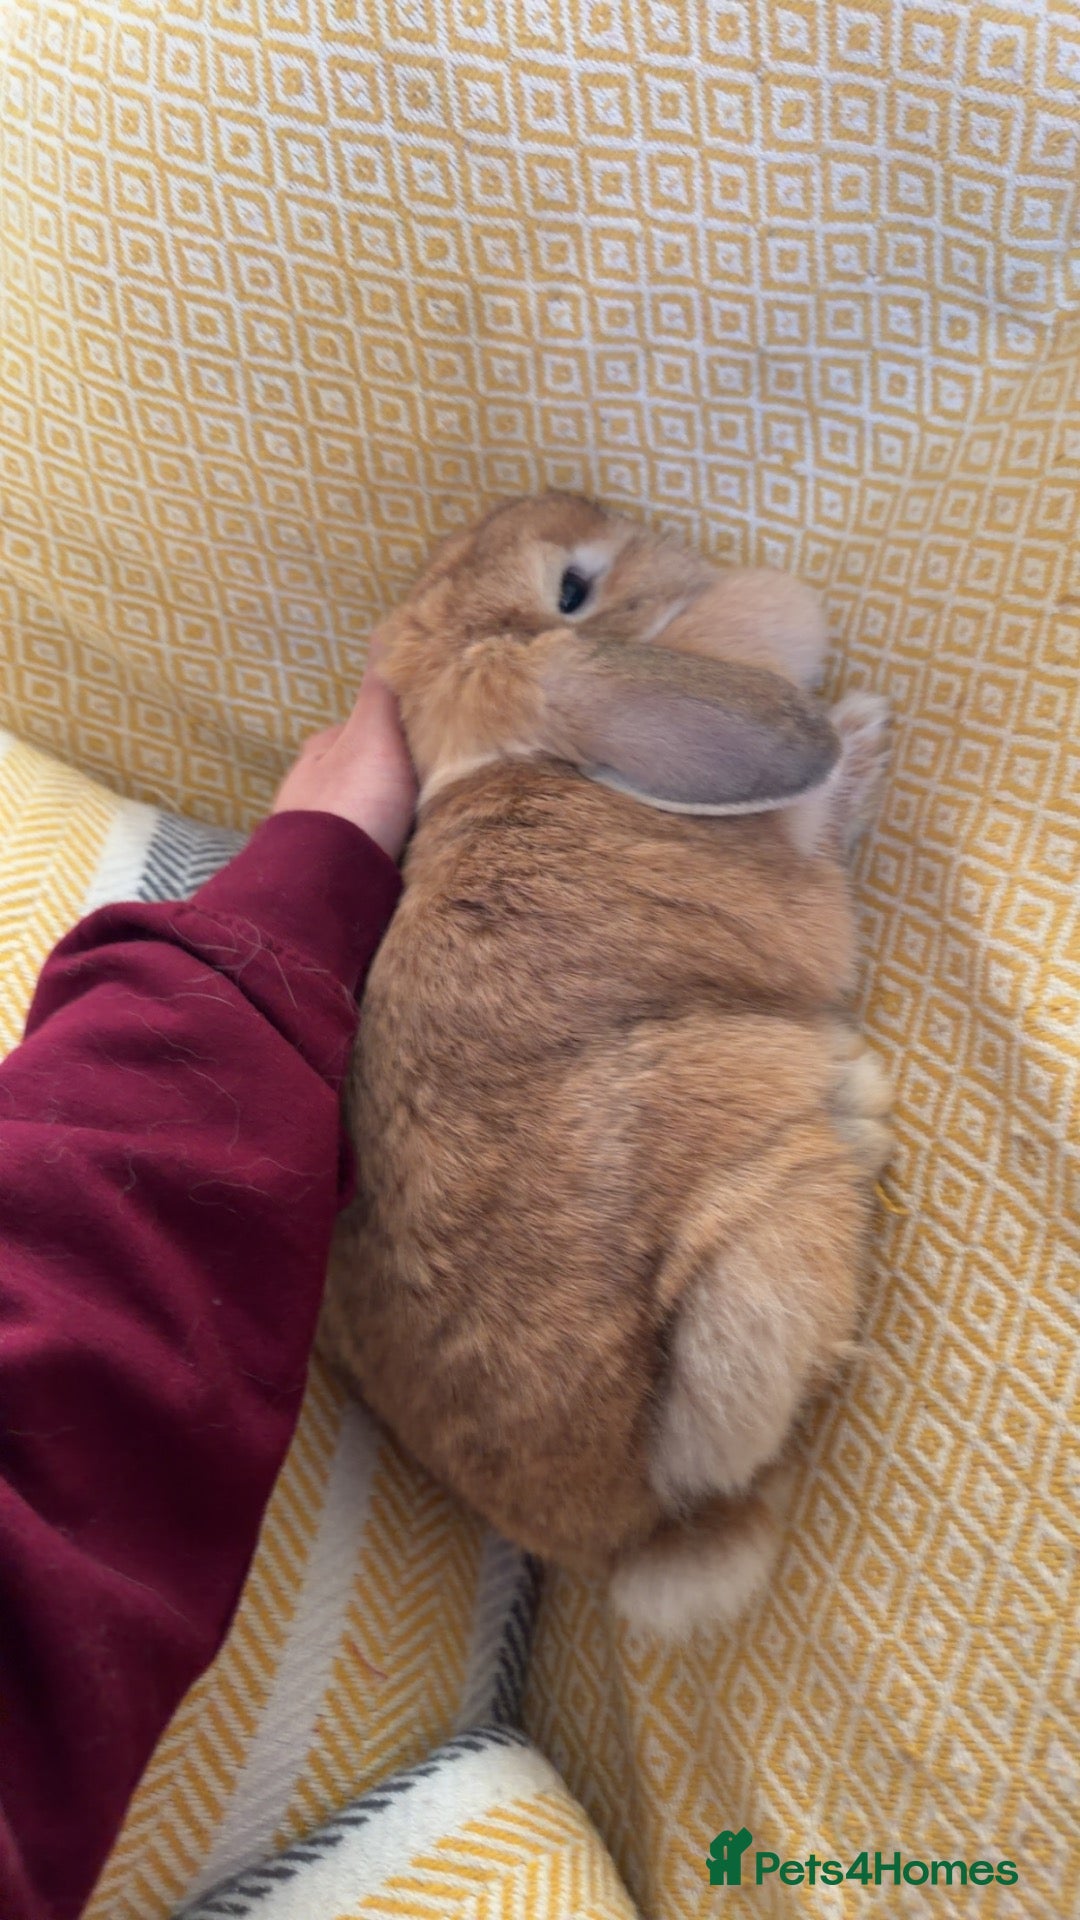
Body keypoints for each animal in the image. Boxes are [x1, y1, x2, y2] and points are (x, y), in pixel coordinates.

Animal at [320, 491, 892, 1639]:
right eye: (574, 586)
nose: (579, 498)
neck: (515, 759)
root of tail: (621, 1537)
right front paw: (864, 728)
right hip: (759, 1257)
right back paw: (860, 1109)